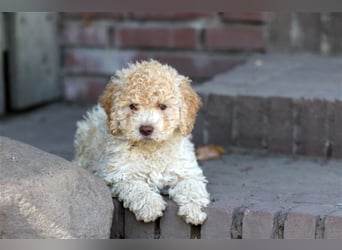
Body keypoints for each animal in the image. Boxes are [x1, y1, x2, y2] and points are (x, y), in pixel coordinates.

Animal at [73, 60, 210, 225]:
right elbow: (138, 188)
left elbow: (192, 187)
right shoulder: (121, 174)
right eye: (133, 106)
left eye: (162, 106)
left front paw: (194, 210)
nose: (146, 129)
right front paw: (151, 207)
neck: (152, 149)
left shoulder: (186, 170)